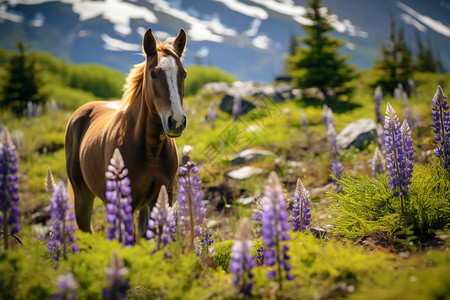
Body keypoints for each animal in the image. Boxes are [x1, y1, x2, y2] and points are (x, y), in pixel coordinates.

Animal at [64, 28, 187, 237]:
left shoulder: (162, 199)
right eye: (153, 74)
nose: (176, 121)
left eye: (184, 75)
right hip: (83, 195)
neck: (151, 152)